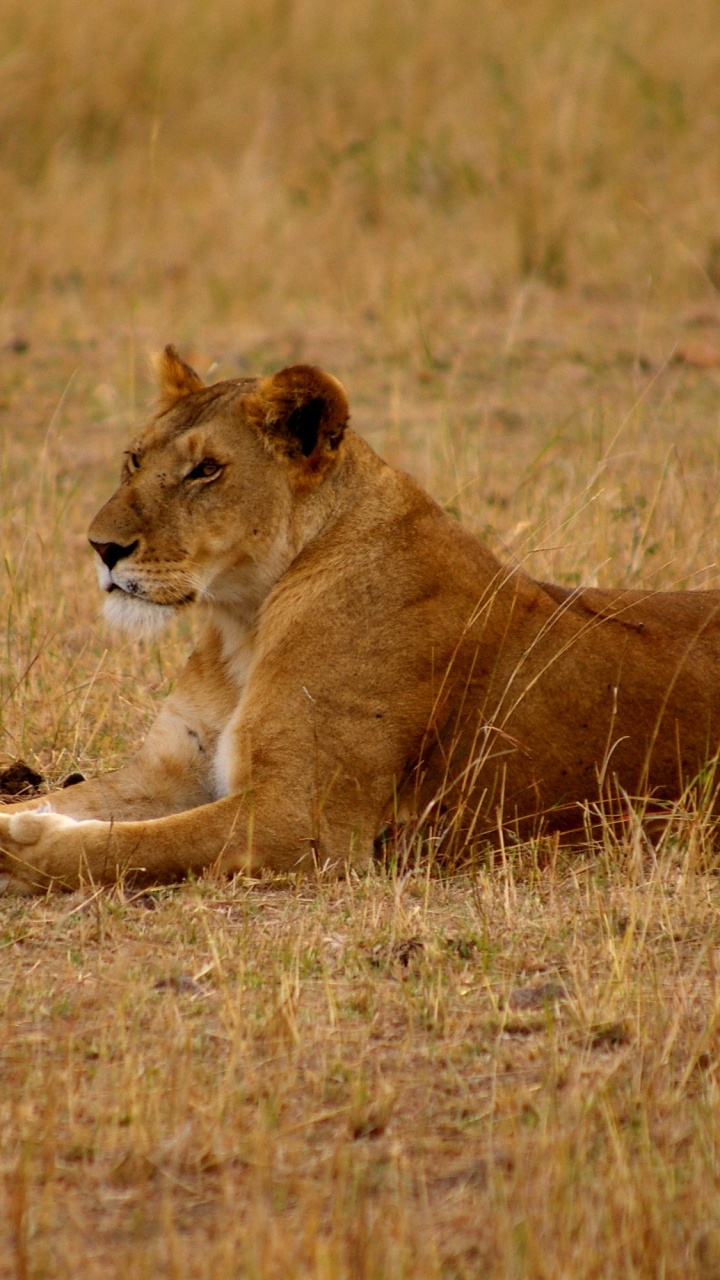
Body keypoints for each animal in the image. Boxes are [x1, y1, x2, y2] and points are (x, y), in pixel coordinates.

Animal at [2, 345, 720, 894]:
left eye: (206, 470)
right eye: (134, 458)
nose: (101, 547)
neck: (244, 621)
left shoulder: (304, 820)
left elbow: (124, 846)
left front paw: (24, 847)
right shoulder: (168, 773)